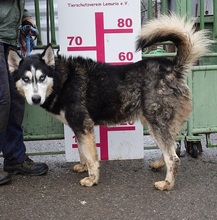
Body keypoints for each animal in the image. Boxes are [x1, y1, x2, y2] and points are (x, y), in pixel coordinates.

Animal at [7, 13, 211, 190]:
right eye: (26, 79)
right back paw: (159, 164)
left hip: (156, 122)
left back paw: (167, 184)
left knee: (173, 157)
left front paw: (92, 178)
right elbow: (82, 151)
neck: (62, 80)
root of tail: (172, 68)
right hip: (157, 122)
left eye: (42, 78)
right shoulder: (80, 128)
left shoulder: (82, 125)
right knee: (173, 146)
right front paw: (83, 167)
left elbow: (90, 157)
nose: (35, 98)